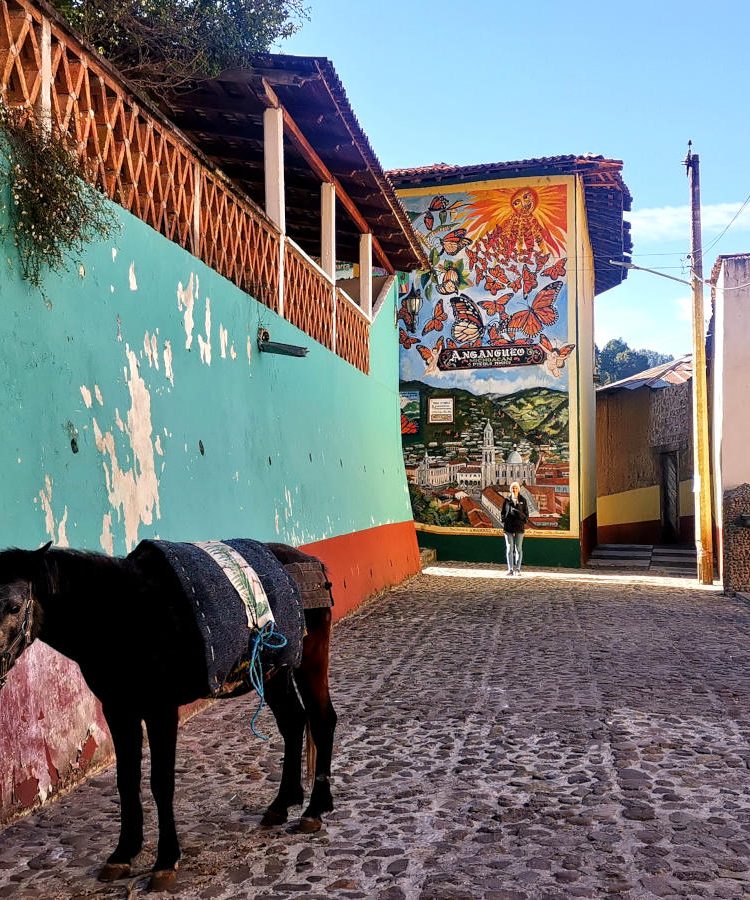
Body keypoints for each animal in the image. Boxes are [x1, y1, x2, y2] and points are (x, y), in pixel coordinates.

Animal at [0, 540, 338, 892]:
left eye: (13, 606)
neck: (122, 615)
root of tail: (311, 562)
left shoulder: (160, 709)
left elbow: (161, 782)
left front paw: (165, 861)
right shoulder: (118, 709)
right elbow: (127, 780)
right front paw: (123, 854)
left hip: (310, 660)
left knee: (322, 721)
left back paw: (315, 809)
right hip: (274, 671)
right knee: (293, 722)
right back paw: (283, 803)